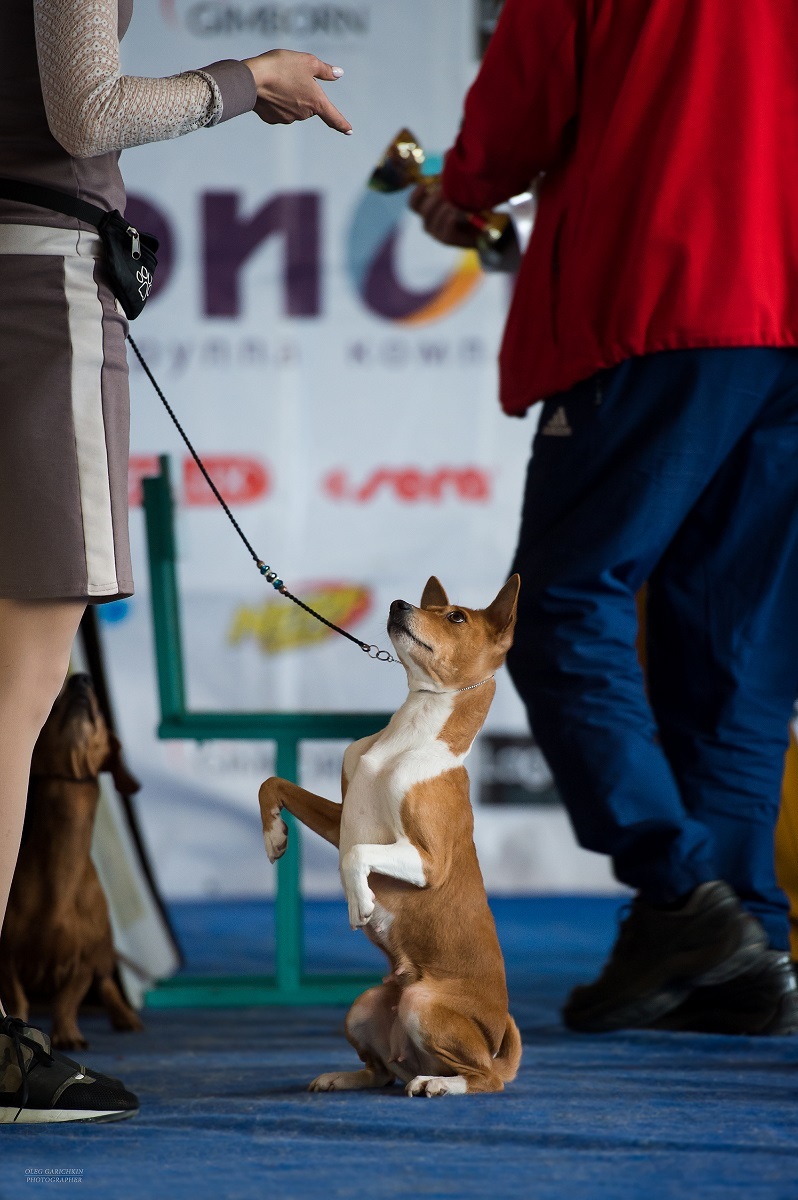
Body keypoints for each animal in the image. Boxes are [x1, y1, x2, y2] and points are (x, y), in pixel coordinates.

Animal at [0, 676, 144, 1051]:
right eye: (55, 705)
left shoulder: (84, 964)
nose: (82, 679)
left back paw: (125, 1016)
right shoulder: (8, 957)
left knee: (108, 985)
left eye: (102, 714)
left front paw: (68, 1034)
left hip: (105, 952)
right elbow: (17, 998)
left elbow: (67, 1000)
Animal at [258, 578, 523, 1099]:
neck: (408, 736)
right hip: (363, 1005)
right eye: (432, 605)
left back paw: (439, 1083)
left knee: (484, 1078)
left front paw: (358, 901)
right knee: (380, 1071)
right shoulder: (340, 821)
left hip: (423, 1003)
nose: (400, 604)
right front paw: (274, 834)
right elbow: (272, 783)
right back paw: (342, 1076)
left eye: (456, 617)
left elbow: (356, 857)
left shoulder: (428, 860)